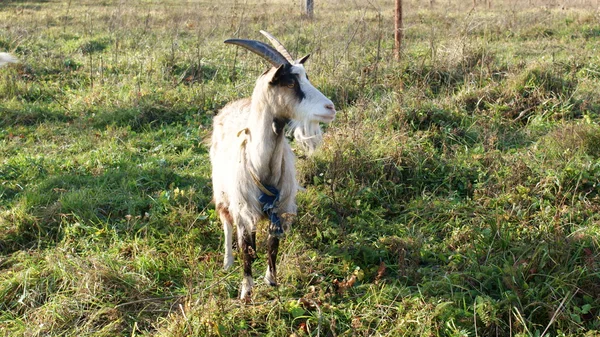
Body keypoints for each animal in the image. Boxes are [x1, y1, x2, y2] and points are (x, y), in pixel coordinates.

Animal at [211, 30, 336, 300]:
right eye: (289, 83)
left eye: (306, 77)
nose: (330, 108)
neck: (262, 166)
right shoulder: (243, 208)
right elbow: (245, 248)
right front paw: (246, 291)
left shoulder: (279, 208)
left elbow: (272, 245)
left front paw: (271, 281)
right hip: (222, 190)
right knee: (226, 223)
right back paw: (227, 261)